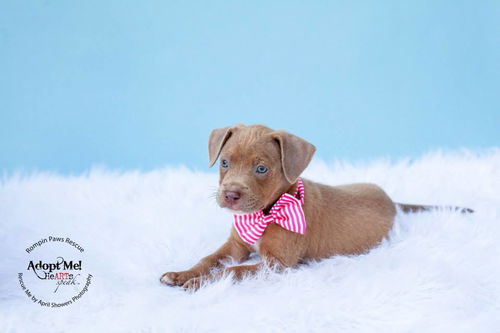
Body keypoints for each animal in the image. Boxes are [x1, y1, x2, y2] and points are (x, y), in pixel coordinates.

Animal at [162, 123, 466, 290]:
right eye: (224, 162)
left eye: (261, 168)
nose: (231, 195)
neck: (266, 213)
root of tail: (390, 200)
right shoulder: (236, 245)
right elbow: (208, 259)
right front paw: (182, 273)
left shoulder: (276, 264)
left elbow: (232, 271)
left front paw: (200, 283)